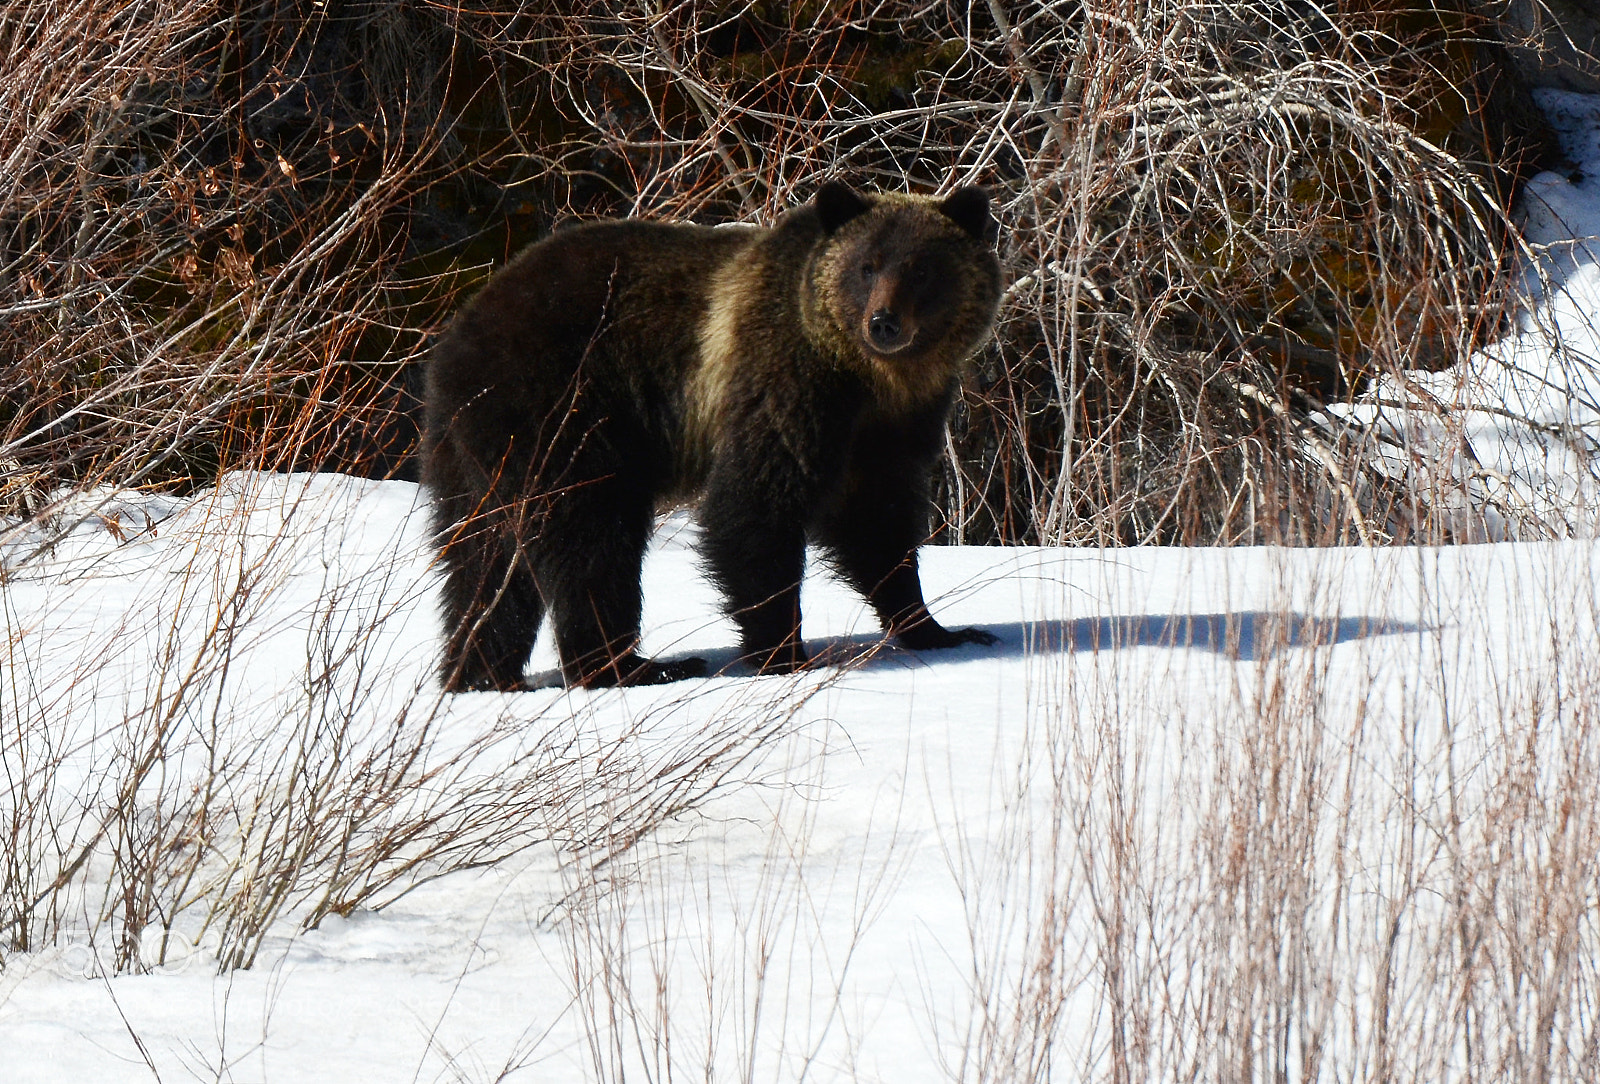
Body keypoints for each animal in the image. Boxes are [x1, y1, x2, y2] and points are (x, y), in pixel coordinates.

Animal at [422, 181, 1003, 690]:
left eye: (923, 269)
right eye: (866, 266)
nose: (883, 322)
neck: (868, 378)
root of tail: (460, 328)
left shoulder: (894, 427)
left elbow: (881, 526)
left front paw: (939, 628)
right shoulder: (785, 383)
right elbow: (754, 507)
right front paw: (783, 652)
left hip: (474, 448)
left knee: (483, 559)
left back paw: (480, 672)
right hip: (561, 406)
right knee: (588, 534)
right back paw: (630, 666)